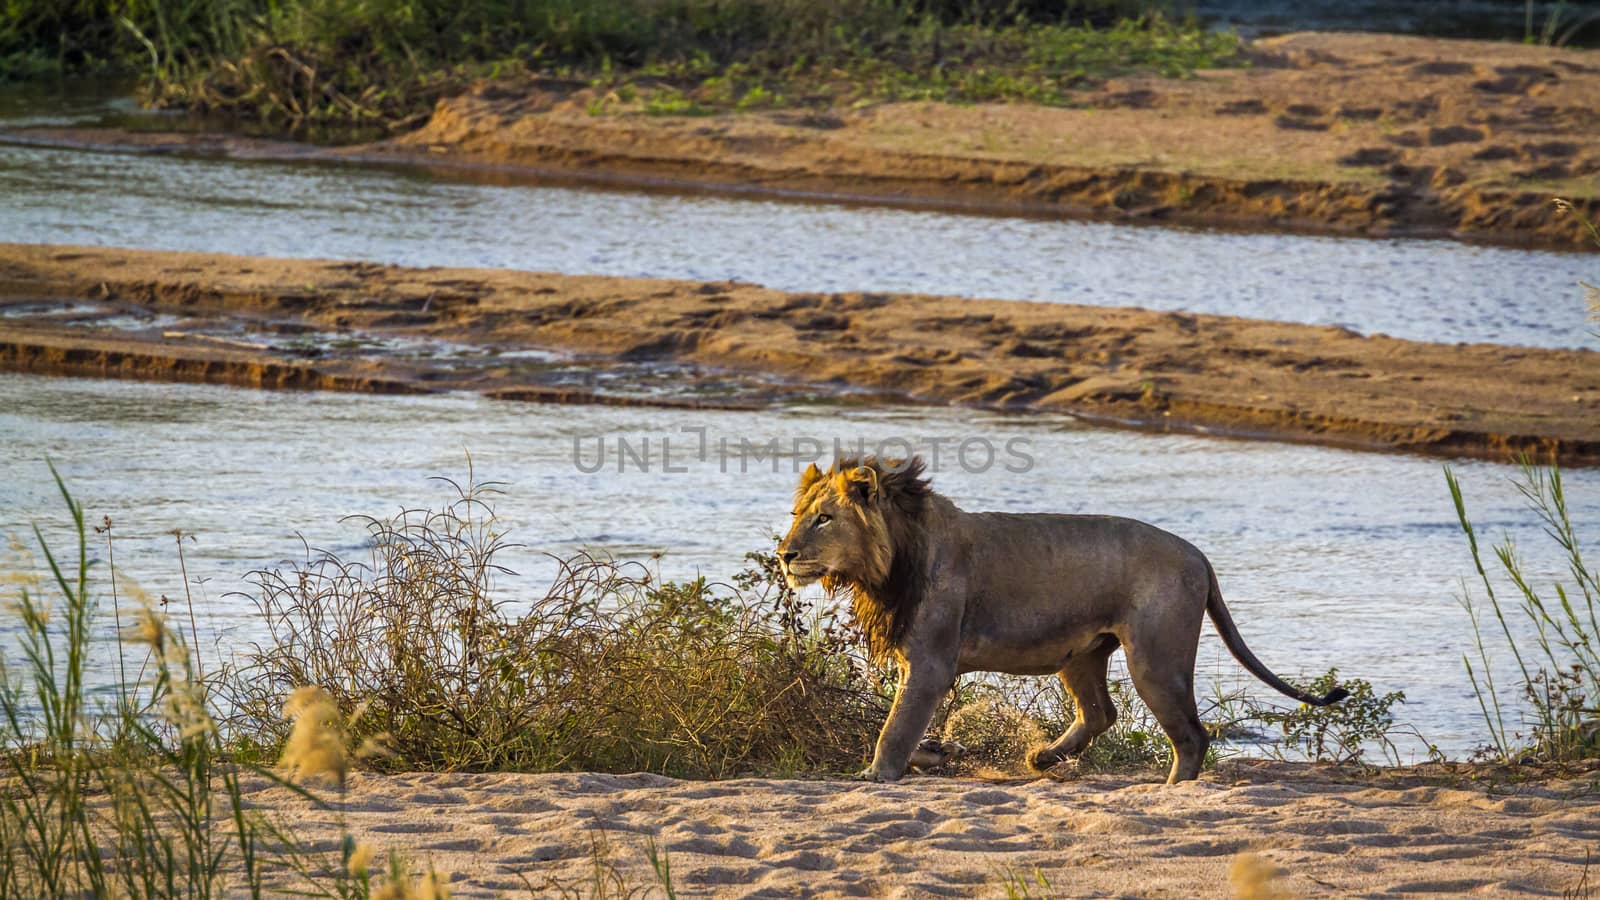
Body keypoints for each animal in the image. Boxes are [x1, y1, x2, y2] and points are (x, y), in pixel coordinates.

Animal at [774, 454, 1350, 778]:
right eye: (798, 515)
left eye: (824, 519)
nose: (784, 555)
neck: (887, 565)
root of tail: (1200, 556)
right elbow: (909, 729)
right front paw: (941, 752)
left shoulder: (931, 663)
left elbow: (894, 728)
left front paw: (875, 775)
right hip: (1082, 654)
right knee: (1101, 714)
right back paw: (1043, 758)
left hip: (1155, 660)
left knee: (1191, 735)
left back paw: (1168, 789)